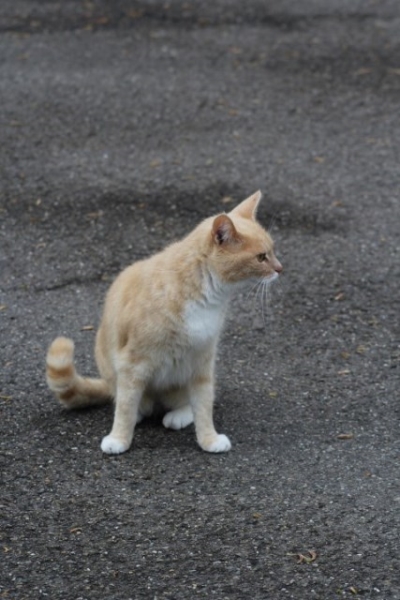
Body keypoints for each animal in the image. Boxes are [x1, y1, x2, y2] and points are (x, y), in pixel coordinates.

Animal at [46, 191, 282, 455]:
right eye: (261, 257)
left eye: (273, 251)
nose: (280, 269)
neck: (204, 293)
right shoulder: (132, 363)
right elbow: (125, 407)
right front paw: (119, 438)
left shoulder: (202, 361)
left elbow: (203, 404)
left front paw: (208, 440)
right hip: (113, 370)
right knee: (130, 401)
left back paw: (178, 415)